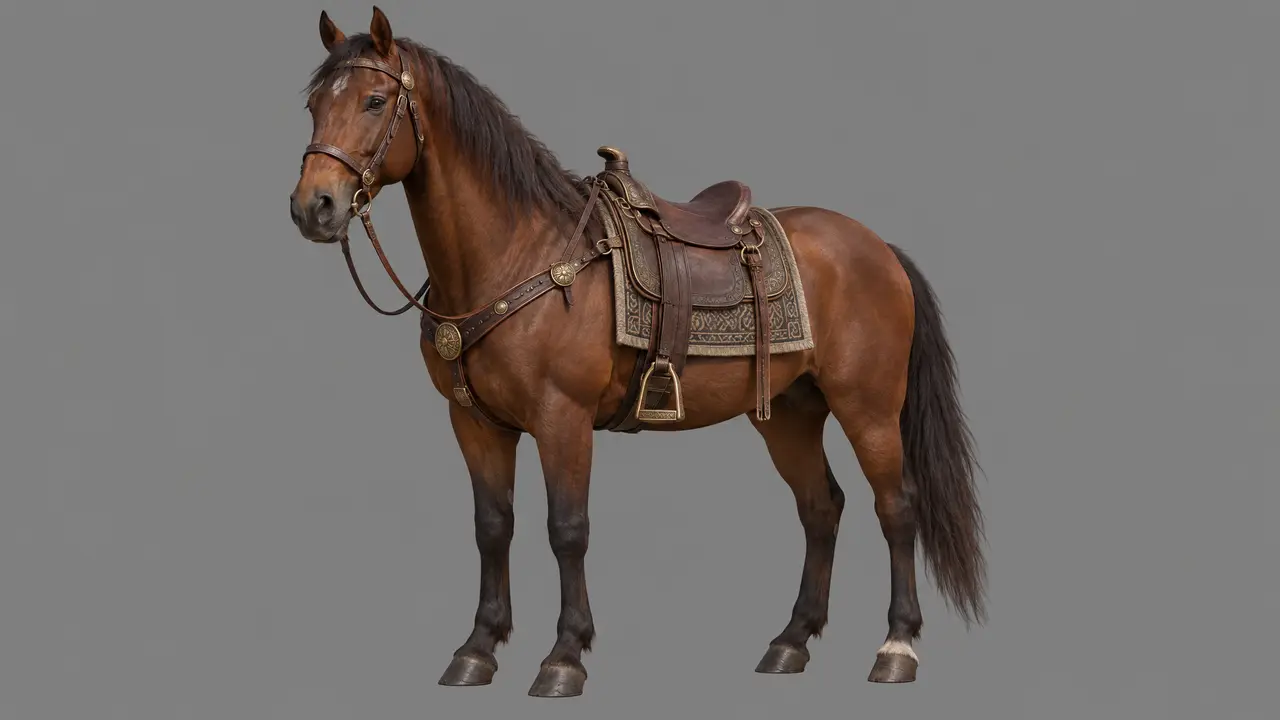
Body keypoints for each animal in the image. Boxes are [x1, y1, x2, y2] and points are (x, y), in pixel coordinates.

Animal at [288, 6, 987, 698]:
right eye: (314, 105)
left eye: (375, 100)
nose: (312, 207)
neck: (519, 252)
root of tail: (877, 247)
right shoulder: (476, 423)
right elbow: (494, 527)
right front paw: (478, 649)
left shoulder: (562, 419)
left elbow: (566, 531)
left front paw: (564, 656)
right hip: (790, 413)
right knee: (821, 508)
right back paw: (790, 642)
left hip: (868, 409)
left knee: (897, 508)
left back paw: (896, 647)